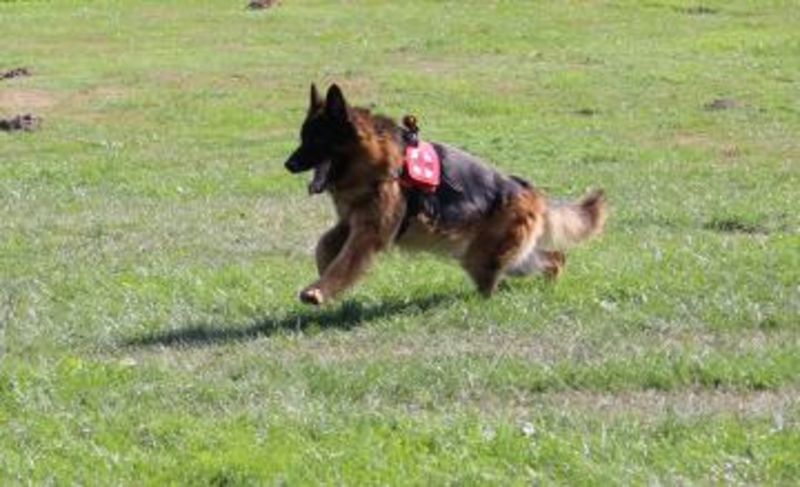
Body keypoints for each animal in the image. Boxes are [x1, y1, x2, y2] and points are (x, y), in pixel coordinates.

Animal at [285, 84, 606, 305]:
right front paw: (323, 271)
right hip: (513, 258)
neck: (376, 159)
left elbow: (344, 262)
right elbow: (325, 244)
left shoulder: (369, 233)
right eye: (303, 138)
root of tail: (530, 191)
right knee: (555, 258)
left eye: (316, 139)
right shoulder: (352, 222)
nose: (288, 165)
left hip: (483, 257)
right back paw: (549, 284)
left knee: (494, 283)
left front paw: (318, 291)